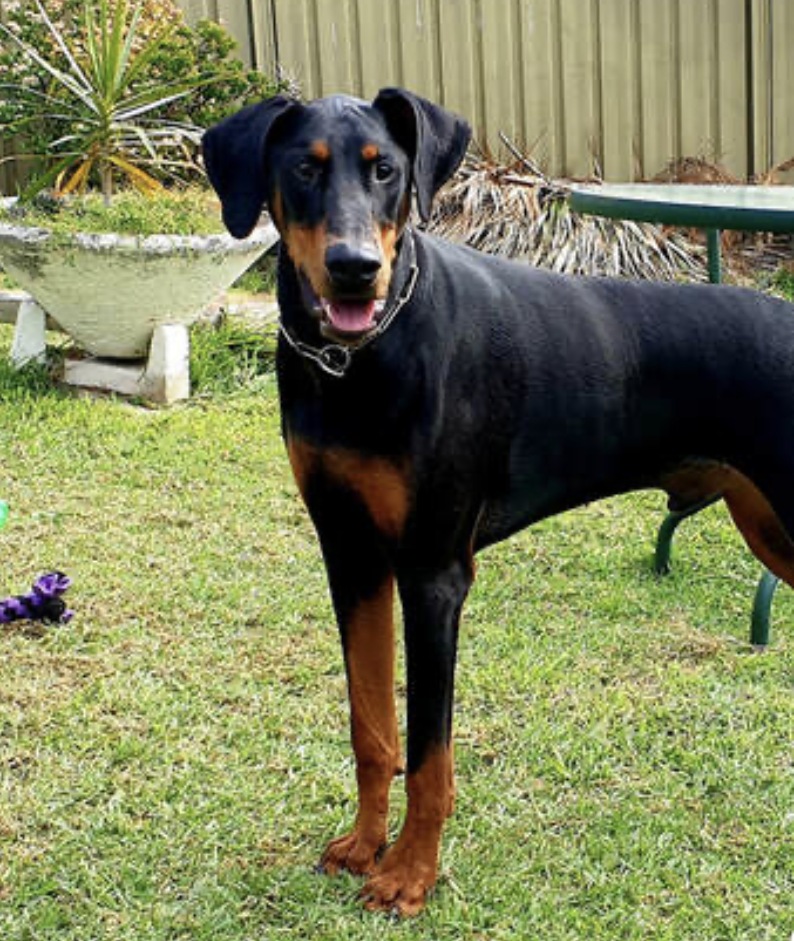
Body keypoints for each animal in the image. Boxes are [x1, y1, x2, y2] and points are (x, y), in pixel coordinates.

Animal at [203, 88, 792, 912]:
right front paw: (364, 845)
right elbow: (372, 727)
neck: (359, 361)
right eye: (303, 168)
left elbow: (430, 754)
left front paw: (409, 874)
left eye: (385, 170)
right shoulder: (351, 555)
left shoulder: (433, 574)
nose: (356, 269)